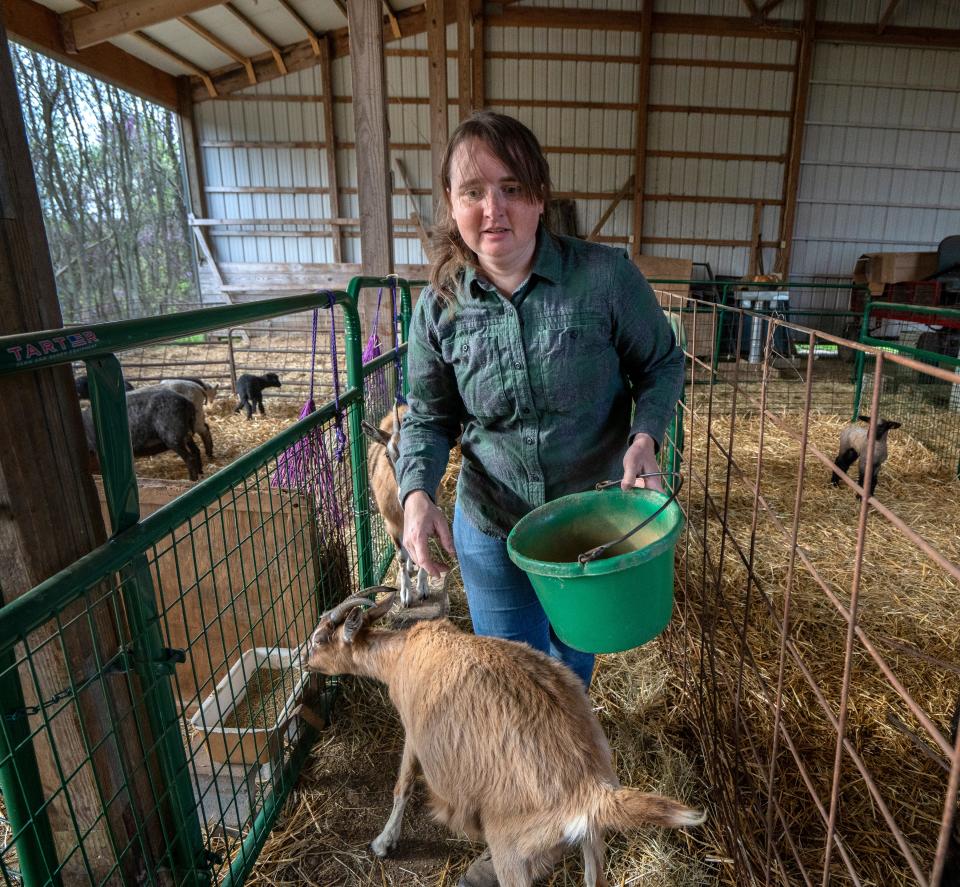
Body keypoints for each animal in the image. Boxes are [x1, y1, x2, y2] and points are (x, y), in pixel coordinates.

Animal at [308, 588, 704, 887]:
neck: (403, 653)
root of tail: (590, 789)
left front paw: (383, 843)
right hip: (591, 839)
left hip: (510, 847)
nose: (305, 662)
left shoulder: (413, 733)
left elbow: (402, 783)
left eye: (320, 638)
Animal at [362, 404, 430, 608]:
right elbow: (400, 556)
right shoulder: (391, 524)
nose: (402, 496)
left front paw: (423, 588)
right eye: (387, 454)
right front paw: (406, 595)